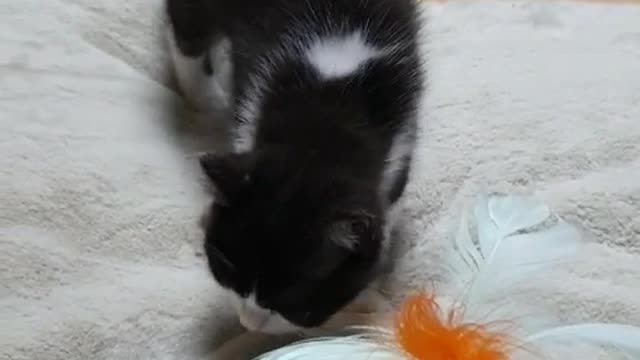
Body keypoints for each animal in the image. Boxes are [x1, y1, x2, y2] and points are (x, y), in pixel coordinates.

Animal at [166, 0, 424, 334]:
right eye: (227, 270)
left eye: (289, 302)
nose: (248, 324)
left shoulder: (401, 136)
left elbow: (390, 202)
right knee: (187, 29)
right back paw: (204, 96)